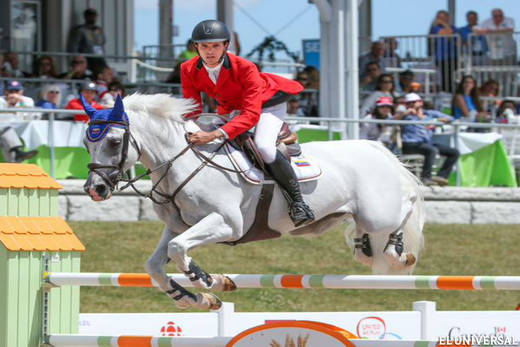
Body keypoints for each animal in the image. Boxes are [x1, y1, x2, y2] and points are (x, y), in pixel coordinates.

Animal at [81, 94, 422, 312]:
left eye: (114, 141)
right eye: (86, 143)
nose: (95, 189)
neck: (182, 161)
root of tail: (375, 146)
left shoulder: (227, 224)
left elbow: (179, 251)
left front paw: (210, 280)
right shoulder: (179, 226)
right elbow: (155, 264)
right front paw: (195, 299)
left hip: (379, 213)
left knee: (407, 206)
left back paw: (399, 252)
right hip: (364, 217)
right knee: (367, 243)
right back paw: (370, 249)